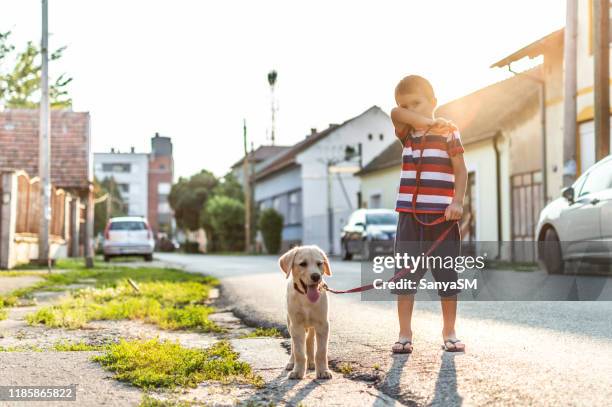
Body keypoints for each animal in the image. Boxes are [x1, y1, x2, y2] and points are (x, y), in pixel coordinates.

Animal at [278, 245, 332, 382]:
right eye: (303, 264)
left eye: (319, 263)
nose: (316, 276)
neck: (306, 299)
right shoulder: (296, 326)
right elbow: (299, 352)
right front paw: (297, 371)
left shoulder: (323, 325)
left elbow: (321, 351)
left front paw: (323, 371)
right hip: (290, 324)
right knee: (293, 345)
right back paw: (291, 363)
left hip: (312, 327)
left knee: (310, 341)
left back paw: (312, 363)